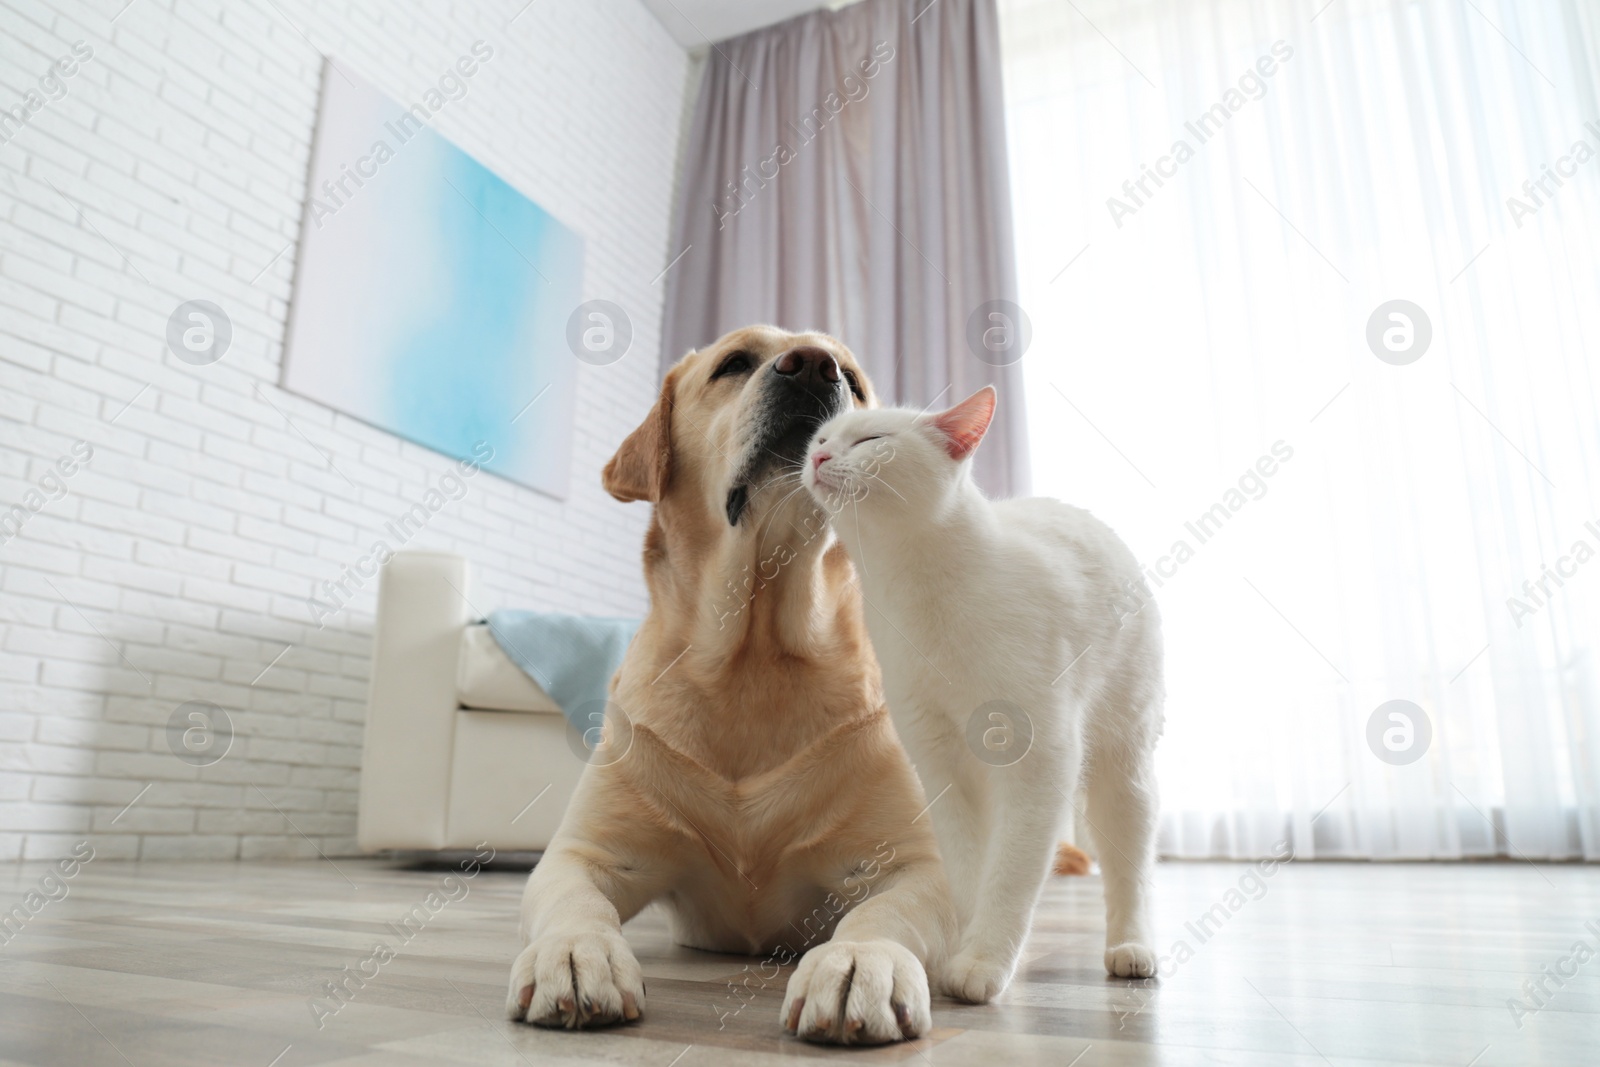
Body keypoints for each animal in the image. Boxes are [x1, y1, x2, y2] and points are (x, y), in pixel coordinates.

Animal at [505, 323, 953, 1043]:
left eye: (853, 380)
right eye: (735, 362)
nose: (814, 367)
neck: (752, 654)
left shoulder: (917, 864)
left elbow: (881, 912)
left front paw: (860, 961)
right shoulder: (584, 852)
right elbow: (574, 899)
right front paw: (574, 952)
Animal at [800, 390, 1164, 1004]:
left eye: (872, 440)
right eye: (822, 438)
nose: (819, 459)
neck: (918, 592)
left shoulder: (1041, 759)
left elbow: (1012, 873)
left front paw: (985, 961)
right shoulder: (940, 762)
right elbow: (973, 872)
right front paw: (970, 948)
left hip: (1125, 762)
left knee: (1129, 865)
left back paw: (1132, 947)